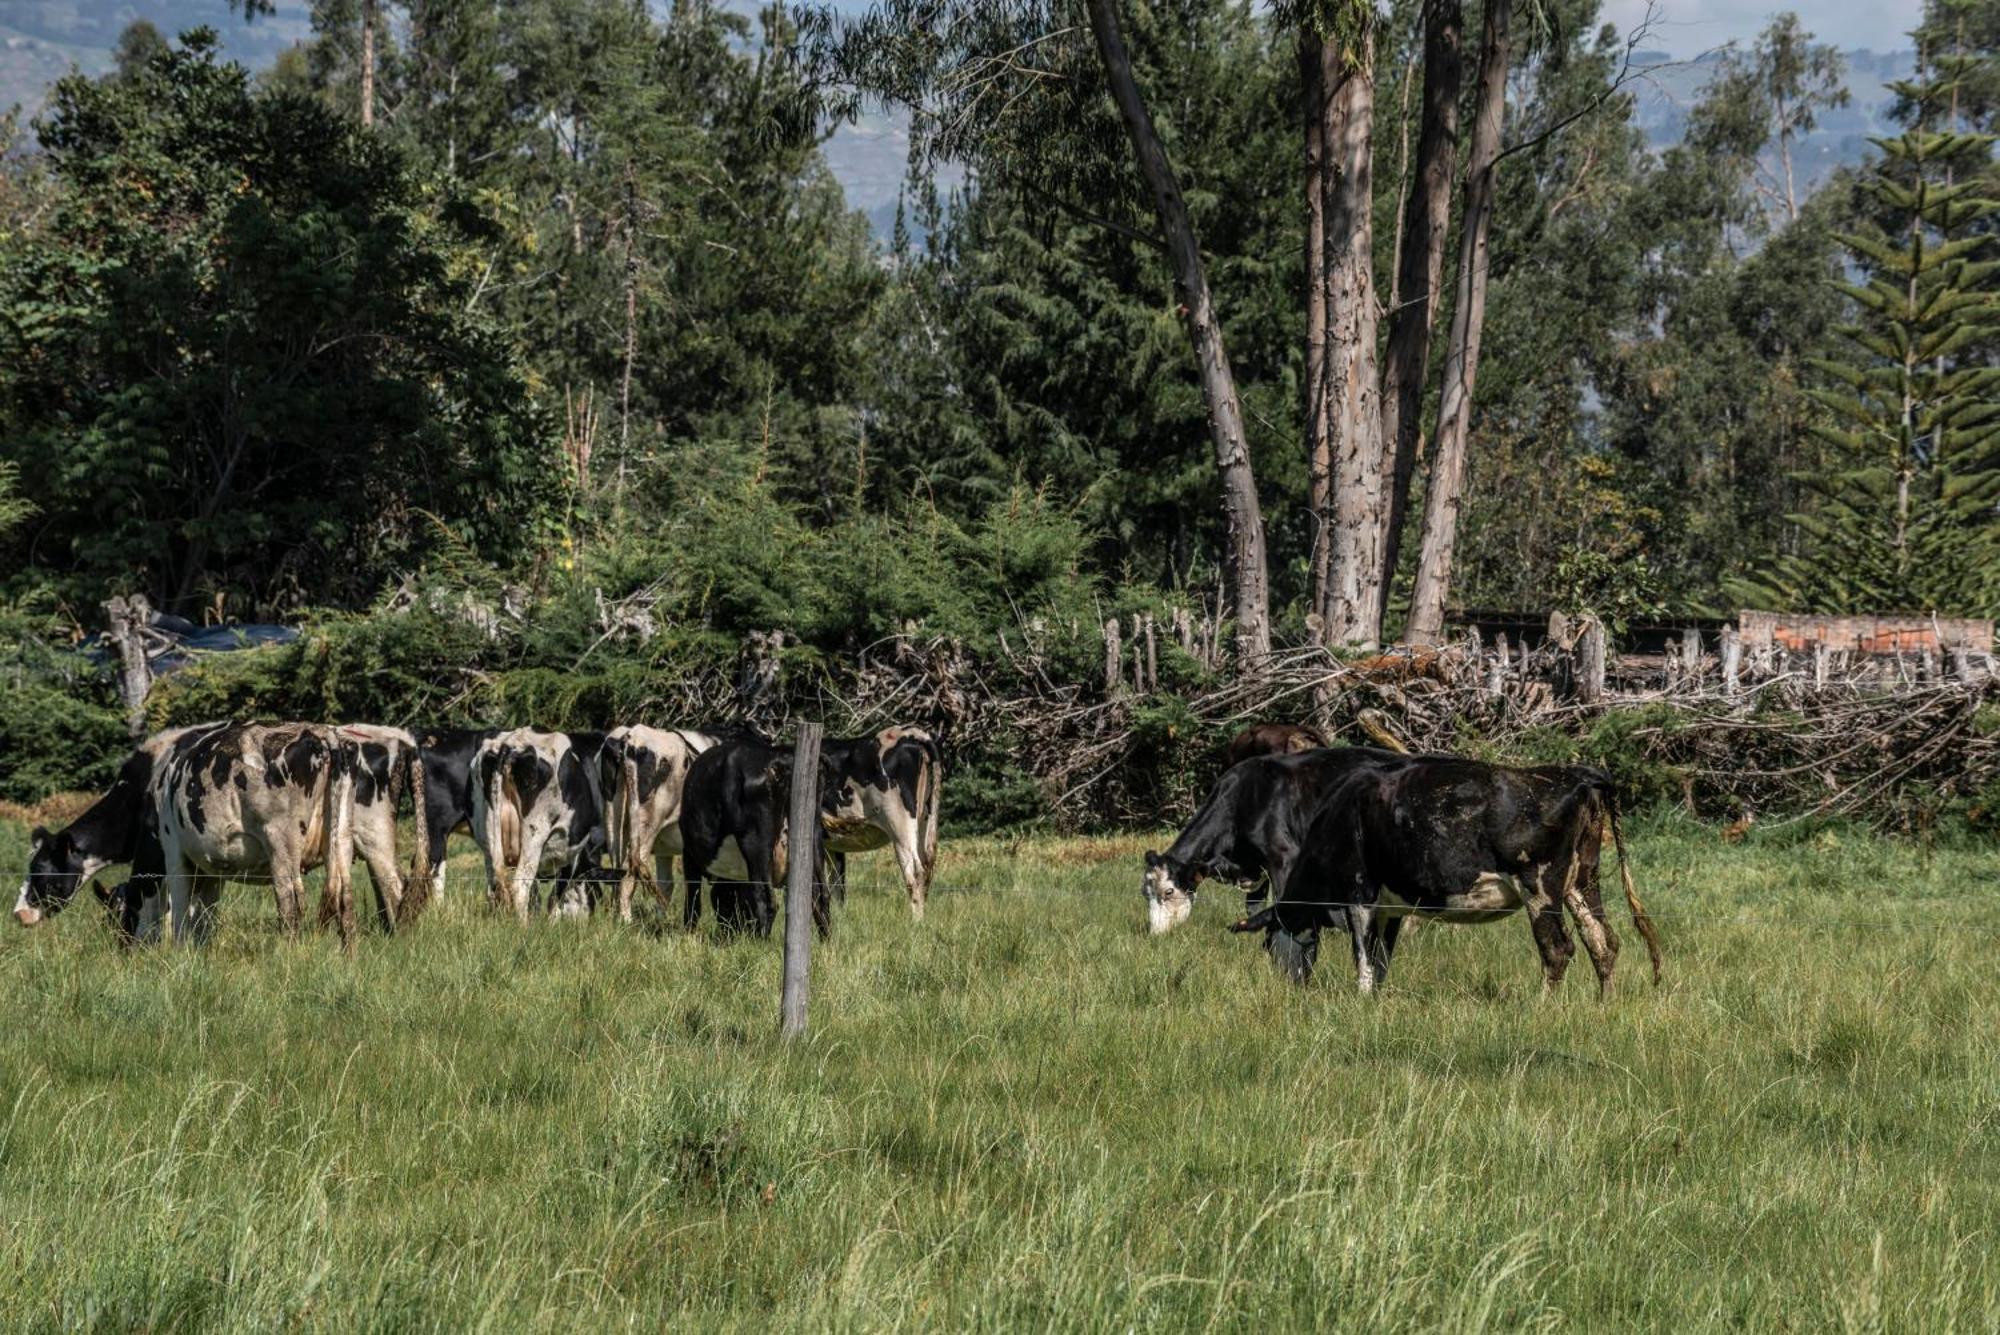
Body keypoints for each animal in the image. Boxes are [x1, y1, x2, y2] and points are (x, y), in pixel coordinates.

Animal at [1144, 747, 1424, 935]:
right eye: (1145, 893)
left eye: (1168, 891)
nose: (1155, 934)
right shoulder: (1253, 868)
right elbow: (1252, 906)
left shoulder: (1282, 855)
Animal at [1232, 755, 1672, 995]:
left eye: (1269, 945)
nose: (1290, 987)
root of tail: (1578, 775)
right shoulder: (1392, 906)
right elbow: (1382, 956)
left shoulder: (1360, 891)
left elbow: (1362, 954)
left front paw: (1361, 997)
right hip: (1582, 879)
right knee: (1603, 941)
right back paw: (1603, 1003)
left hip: (1540, 883)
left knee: (1558, 949)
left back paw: (1543, 1006)